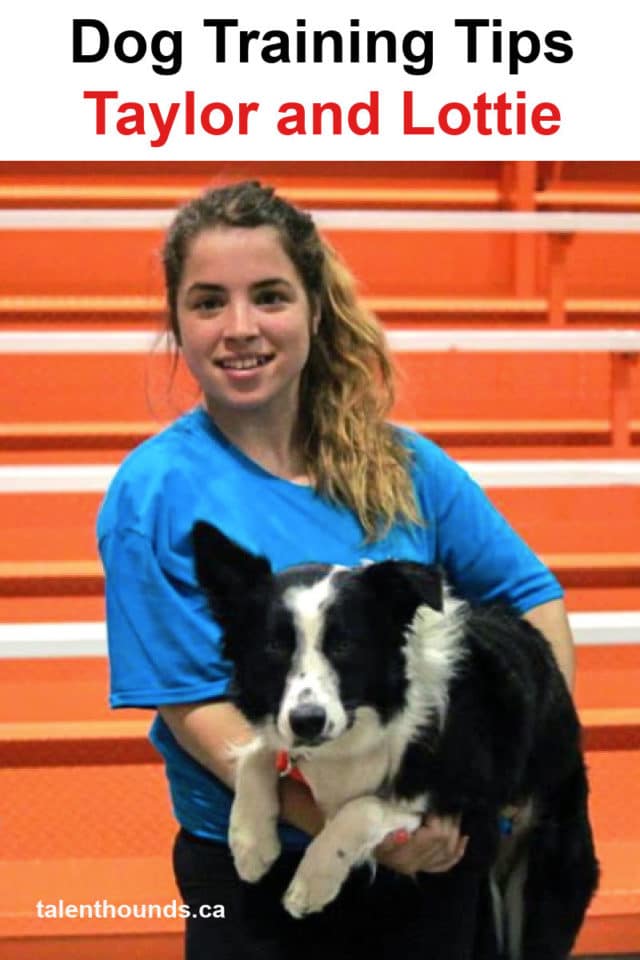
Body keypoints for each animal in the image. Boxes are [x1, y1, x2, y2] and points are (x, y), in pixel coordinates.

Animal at [192, 520, 596, 956]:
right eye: (274, 647)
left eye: (344, 645)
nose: (308, 722)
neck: (370, 717)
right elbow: (258, 753)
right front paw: (250, 841)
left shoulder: (471, 810)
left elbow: (363, 808)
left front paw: (311, 882)